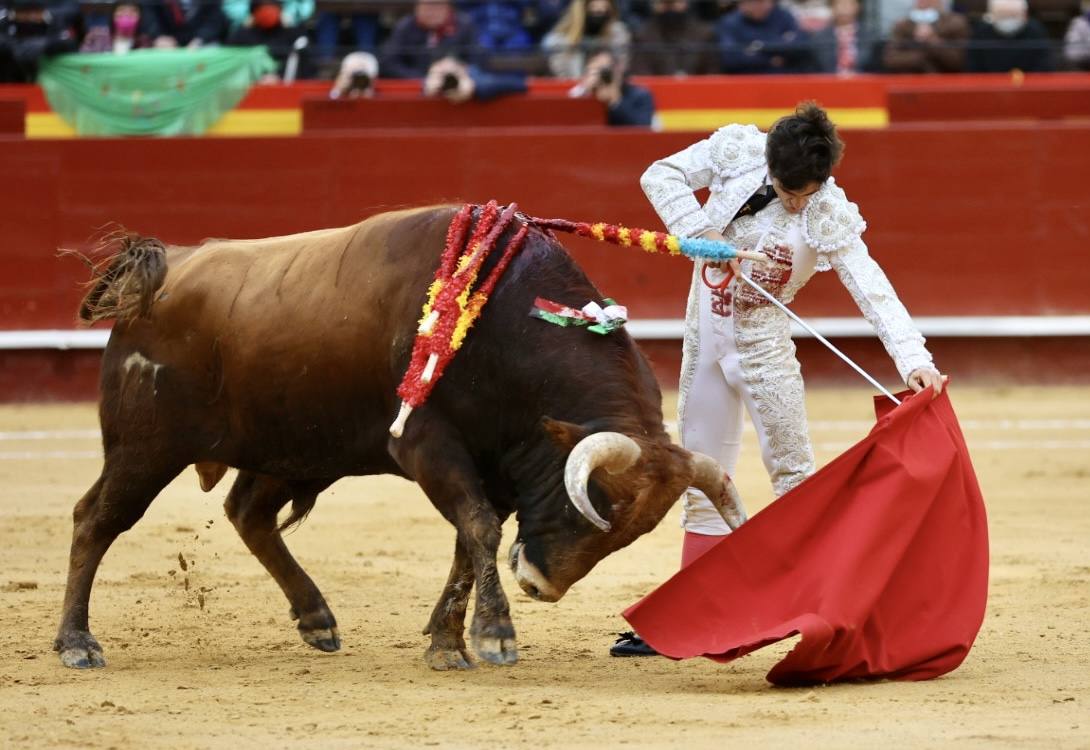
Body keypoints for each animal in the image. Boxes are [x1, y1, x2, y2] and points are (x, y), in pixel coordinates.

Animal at [55, 206, 745, 675]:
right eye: (593, 503)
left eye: (632, 531)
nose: (538, 586)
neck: (503, 324)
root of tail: (164, 267)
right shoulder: (426, 446)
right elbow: (477, 528)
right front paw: (495, 635)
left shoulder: (497, 469)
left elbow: (469, 541)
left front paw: (447, 643)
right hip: (146, 446)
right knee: (96, 518)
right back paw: (77, 643)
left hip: (293, 446)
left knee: (247, 512)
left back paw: (317, 620)